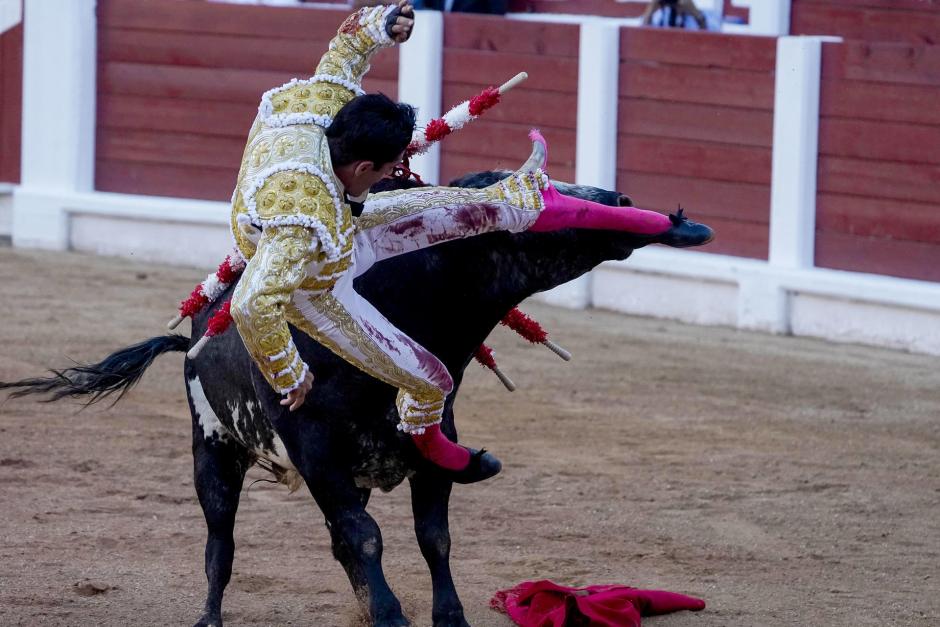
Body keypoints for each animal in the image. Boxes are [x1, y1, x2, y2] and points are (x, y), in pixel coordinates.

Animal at [1, 169, 660, 624]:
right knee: (221, 542)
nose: (624, 201)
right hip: (212, 450)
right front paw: (391, 616)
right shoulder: (318, 454)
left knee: (334, 542)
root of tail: (193, 330)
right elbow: (366, 537)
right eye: (531, 199)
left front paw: (445, 615)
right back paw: (209, 616)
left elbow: (431, 538)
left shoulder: (431, 448)